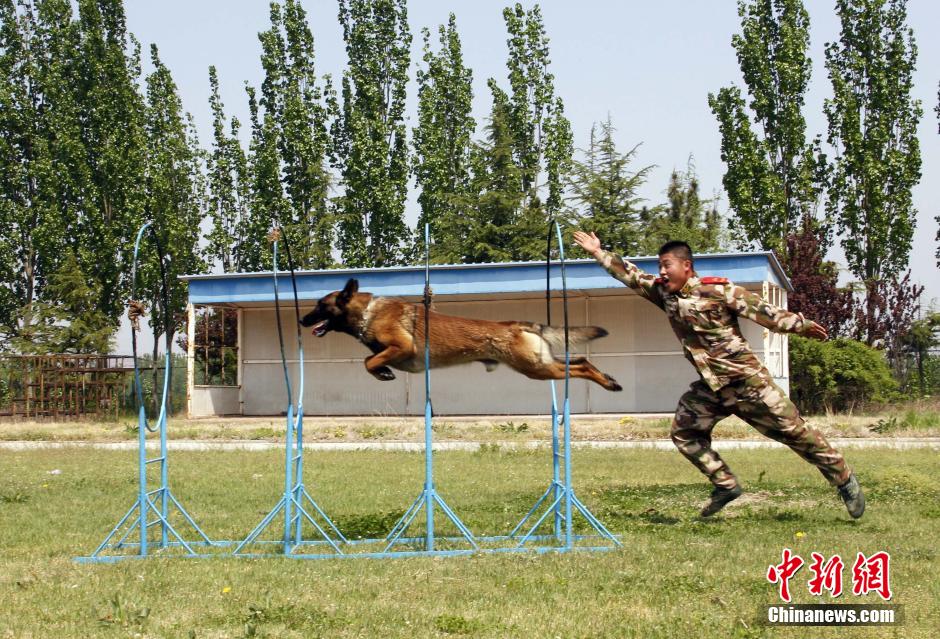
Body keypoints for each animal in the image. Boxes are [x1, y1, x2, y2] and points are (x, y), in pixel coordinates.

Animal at [299, 278, 622, 391]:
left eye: (320, 306)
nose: (302, 319)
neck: (368, 313)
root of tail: (518, 324)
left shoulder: (402, 347)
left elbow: (368, 361)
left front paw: (383, 373)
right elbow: (370, 360)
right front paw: (383, 372)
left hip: (536, 368)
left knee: (580, 366)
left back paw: (608, 383)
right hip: (540, 365)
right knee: (580, 361)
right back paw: (610, 380)